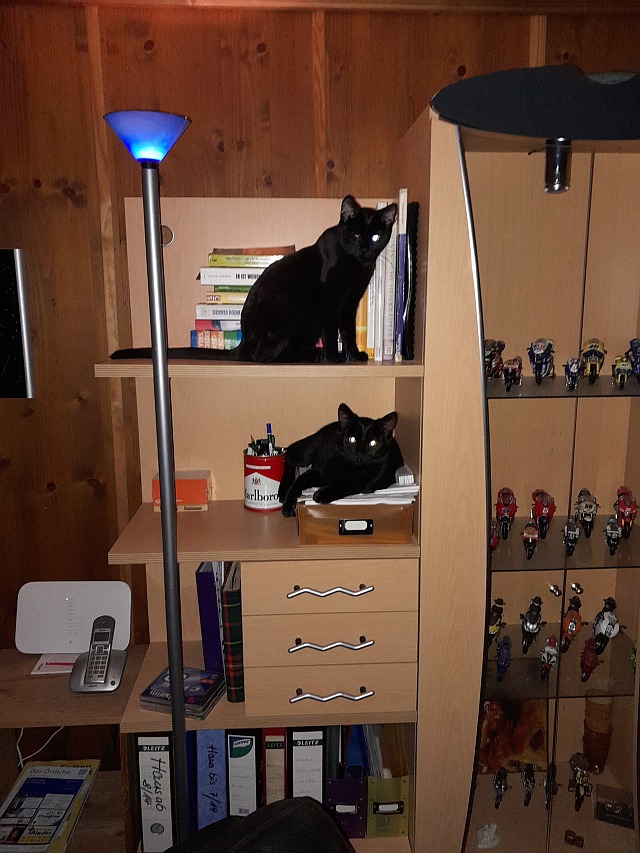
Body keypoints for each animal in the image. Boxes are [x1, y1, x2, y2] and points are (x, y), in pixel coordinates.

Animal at [111, 195, 397, 364]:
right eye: (357, 235)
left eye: (375, 237)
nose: (365, 249)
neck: (357, 265)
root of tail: (244, 343)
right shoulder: (329, 300)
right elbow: (331, 330)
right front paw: (334, 356)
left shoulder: (350, 302)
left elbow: (347, 330)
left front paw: (354, 354)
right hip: (287, 309)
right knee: (265, 356)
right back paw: (314, 355)